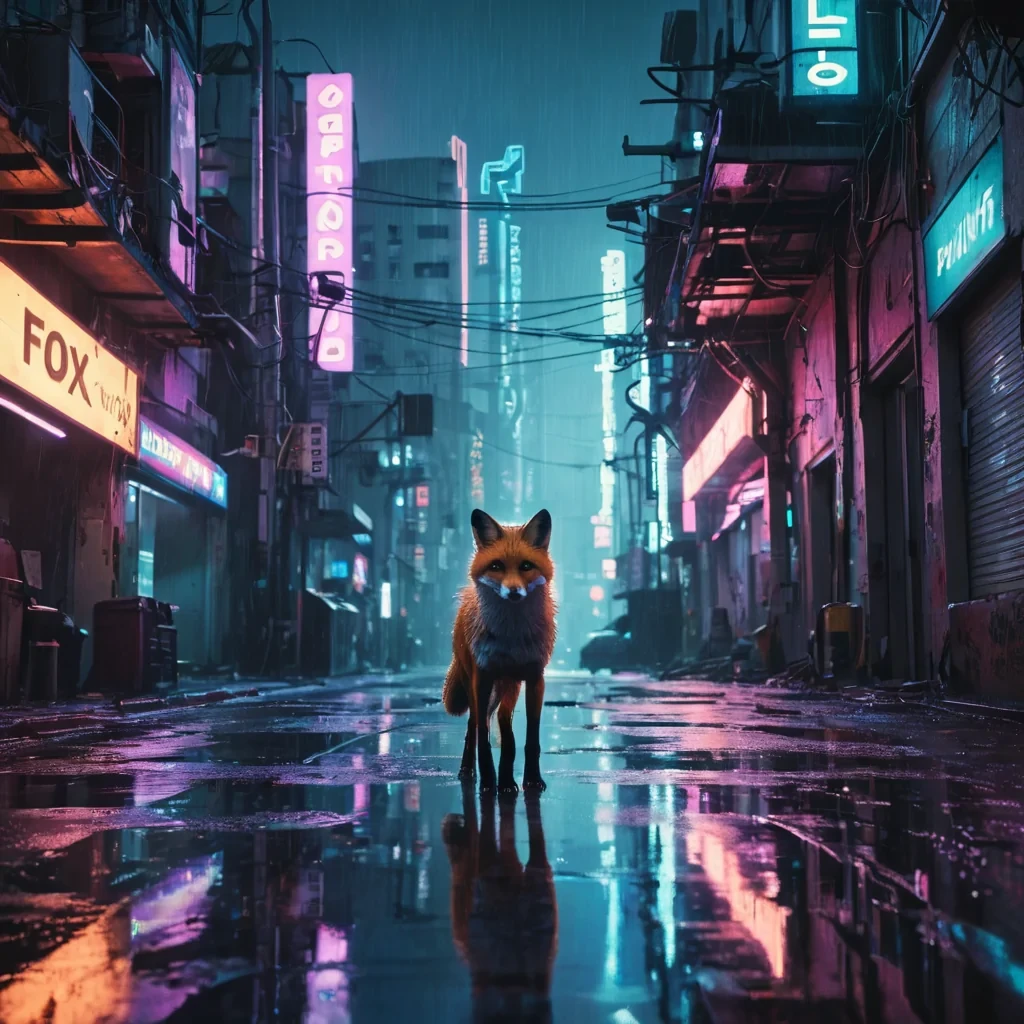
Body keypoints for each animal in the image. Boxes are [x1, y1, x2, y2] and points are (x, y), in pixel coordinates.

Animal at [443, 508, 556, 793]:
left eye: (526, 566)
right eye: (496, 566)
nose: (513, 592)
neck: (511, 636)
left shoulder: (535, 679)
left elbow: (530, 740)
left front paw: (532, 780)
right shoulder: (482, 678)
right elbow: (483, 738)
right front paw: (488, 781)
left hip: (510, 685)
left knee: (505, 724)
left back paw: (506, 774)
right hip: (475, 683)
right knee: (474, 726)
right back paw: (469, 771)